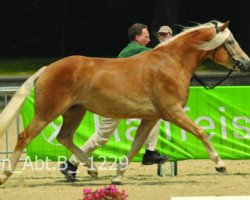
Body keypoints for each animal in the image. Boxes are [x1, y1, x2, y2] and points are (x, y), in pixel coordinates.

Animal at [0, 20, 250, 184]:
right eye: (230, 41)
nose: (246, 63)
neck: (170, 62)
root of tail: (46, 69)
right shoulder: (172, 111)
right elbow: (201, 132)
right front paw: (220, 164)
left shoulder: (151, 117)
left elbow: (136, 145)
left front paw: (118, 176)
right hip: (47, 112)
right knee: (24, 137)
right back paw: (6, 175)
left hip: (74, 112)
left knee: (65, 137)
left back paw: (91, 170)